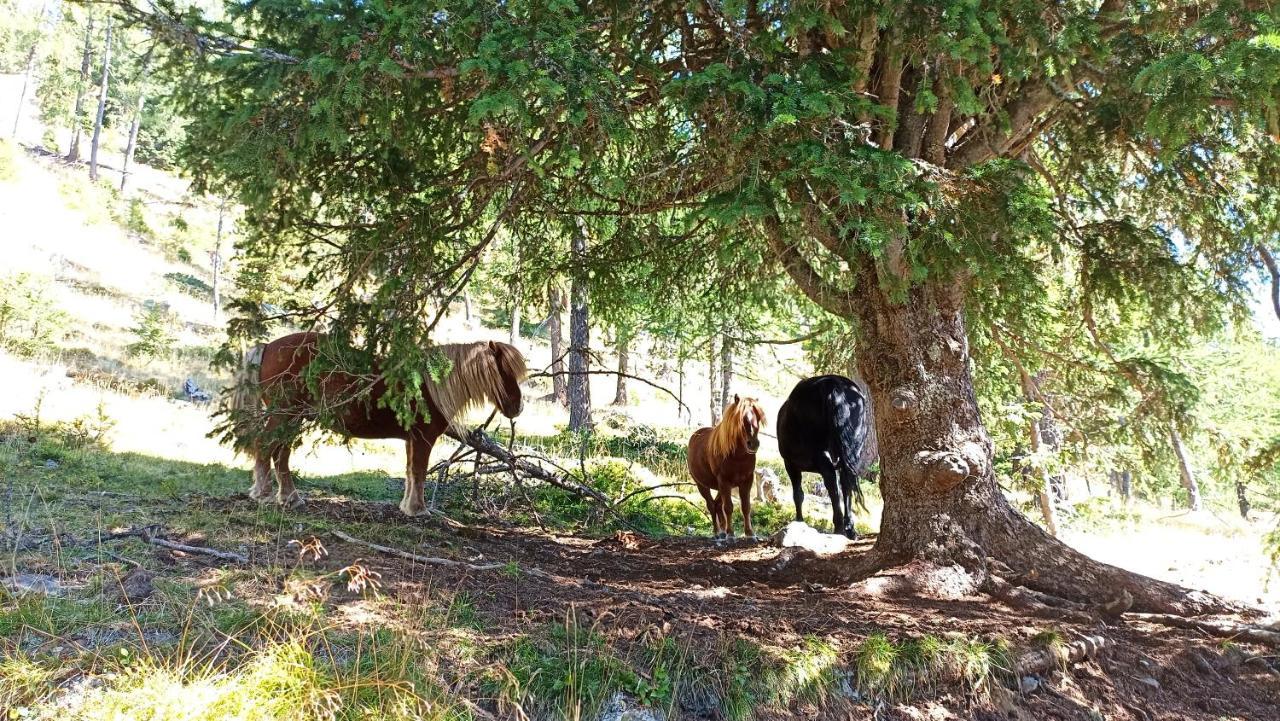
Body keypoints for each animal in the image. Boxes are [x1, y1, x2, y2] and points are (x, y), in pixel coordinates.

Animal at [227, 335, 527, 519]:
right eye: (503, 371)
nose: (518, 407)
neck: (431, 383)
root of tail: (268, 346)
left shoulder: (412, 439)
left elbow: (410, 471)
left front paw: (407, 506)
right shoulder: (424, 437)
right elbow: (419, 471)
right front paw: (418, 509)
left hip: (292, 418)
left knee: (280, 453)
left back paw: (289, 498)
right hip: (285, 415)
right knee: (267, 448)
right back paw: (265, 494)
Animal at [686, 394, 762, 542]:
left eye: (758, 418)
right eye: (742, 418)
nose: (753, 444)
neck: (738, 456)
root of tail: (695, 435)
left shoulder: (747, 481)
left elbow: (746, 507)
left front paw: (750, 533)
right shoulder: (724, 481)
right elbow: (729, 507)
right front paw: (731, 534)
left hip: (722, 487)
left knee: (717, 504)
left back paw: (722, 532)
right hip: (702, 485)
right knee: (711, 505)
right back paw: (718, 532)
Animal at [773, 376, 875, 537]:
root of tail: (833, 384)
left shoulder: (790, 464)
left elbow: (798, 495)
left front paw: (799, 521)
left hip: (820, 455)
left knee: (832, 483)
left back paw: (839, 526)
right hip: (853, 453)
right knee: (846, 483)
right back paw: (849, 527)